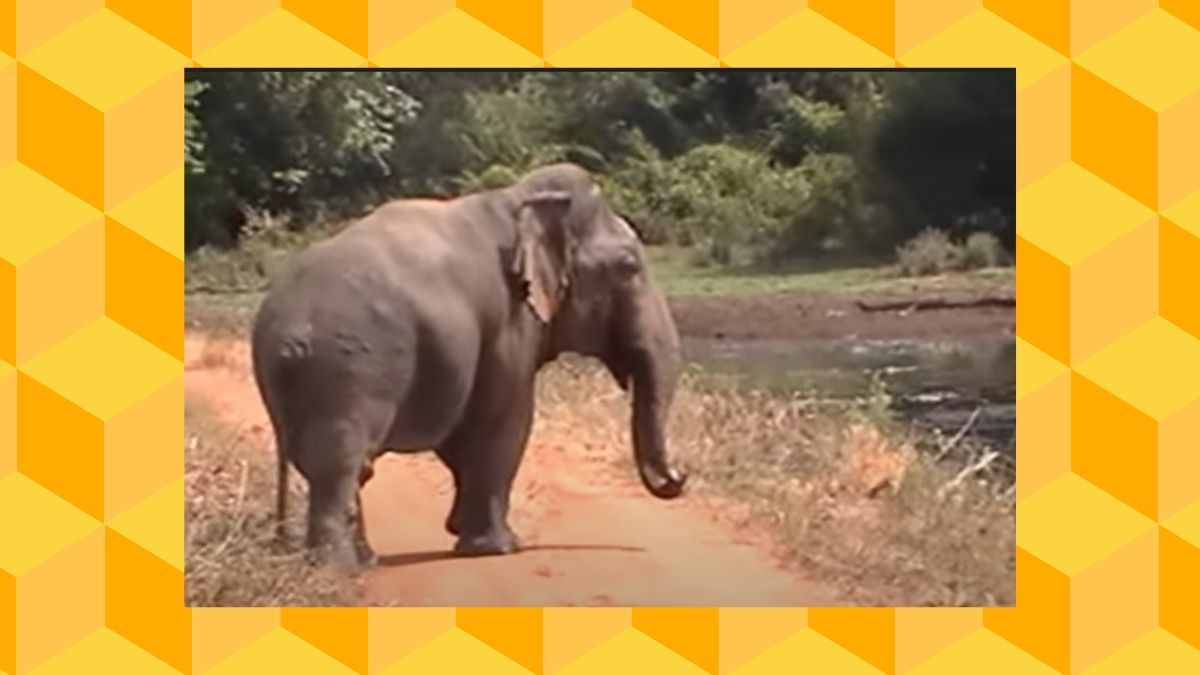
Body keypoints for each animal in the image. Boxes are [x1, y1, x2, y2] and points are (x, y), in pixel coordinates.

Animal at [250, 163, 688, 569]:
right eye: (629, 266)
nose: (680, 476)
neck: (519, 198)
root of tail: (285, 332)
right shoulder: (508, 322)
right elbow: (504, 422)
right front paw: (500, 548)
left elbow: (463, 434)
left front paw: (462, 530)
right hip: (351, 368)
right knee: (341, 459)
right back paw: (338, 569)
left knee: (332, 462)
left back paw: (362, 560)